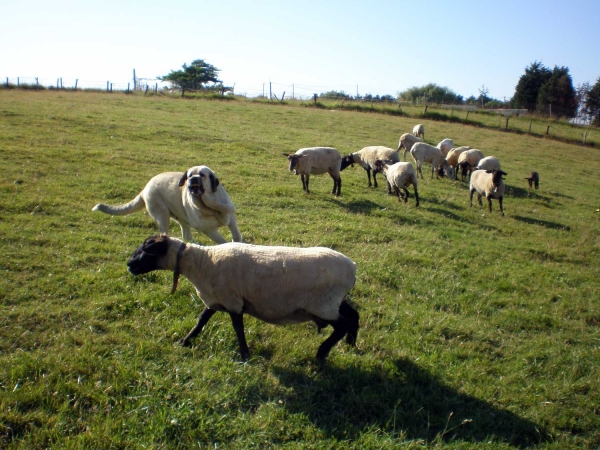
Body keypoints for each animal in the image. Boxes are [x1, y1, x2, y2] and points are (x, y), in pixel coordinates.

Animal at [92, 164, 243, 243]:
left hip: (180, 217)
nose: (192, 179)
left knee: (186, 235)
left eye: (202, 175)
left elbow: (236, 235)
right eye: (189, 175)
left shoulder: (231, 219)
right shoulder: (209, 230)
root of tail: (145, 189)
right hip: (162, 215)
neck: (210, 205)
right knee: (166, 232)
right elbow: (223, 242)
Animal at [126, 234, 358, 364]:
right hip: (335, 302)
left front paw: (245, 354)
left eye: (147, 249)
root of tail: (353, 267)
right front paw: (185, 341)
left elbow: (238, 327)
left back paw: (321, 354)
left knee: (342, 325)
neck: (202, 262)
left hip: (323, 305)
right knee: (354, 315)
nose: (129, 264)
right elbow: (201, 321)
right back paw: (351, 344)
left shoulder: (233, 301)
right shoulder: (215, 299)